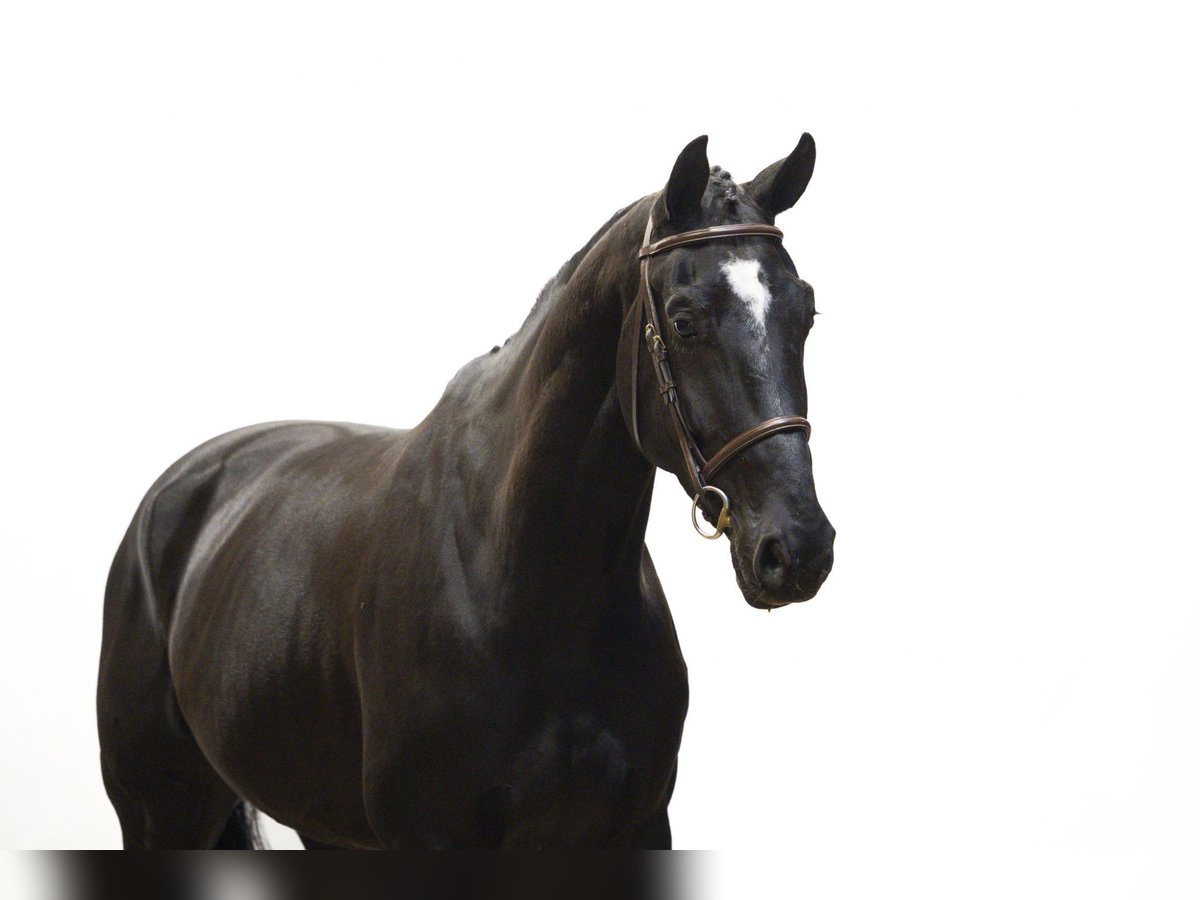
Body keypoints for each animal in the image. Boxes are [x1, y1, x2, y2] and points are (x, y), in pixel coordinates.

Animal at [96, 134, 836, 849]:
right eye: (684, 321)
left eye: (806, 313)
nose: (798, 547)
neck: (524, 584)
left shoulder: (640, 824)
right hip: (161, 810)